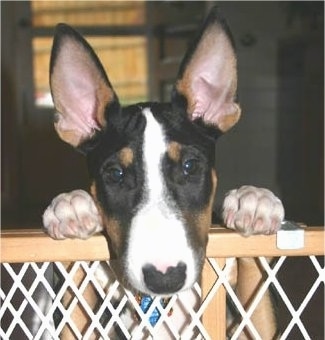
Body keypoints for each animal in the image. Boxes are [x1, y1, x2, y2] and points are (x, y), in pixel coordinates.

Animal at [41, 7, 282, 338]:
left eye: (190, 166)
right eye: (115, 174)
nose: (165, 278)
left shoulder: (244, 323)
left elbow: (254, 286)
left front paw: (254, 201)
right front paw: (71, 207)